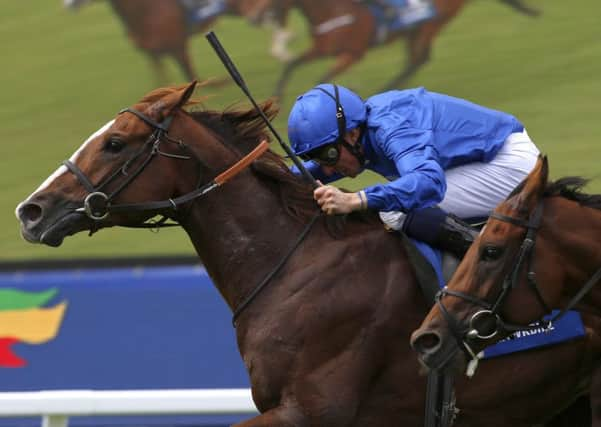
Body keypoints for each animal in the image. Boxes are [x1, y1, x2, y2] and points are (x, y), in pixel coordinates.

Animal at [63, 0, 292, 83]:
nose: (67, 5)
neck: (145, 11)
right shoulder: (154, 54)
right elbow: (162, 83)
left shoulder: (178, 48)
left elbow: (196, 80)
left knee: (275, 13)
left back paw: (282, 47)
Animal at [253, 0, 540, 97]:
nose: (258, 17)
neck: (334, 9)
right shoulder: (322, 48)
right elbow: (291, 64)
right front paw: (277, 96)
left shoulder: (352, 54)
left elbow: (322, 78)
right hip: (415, 30)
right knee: (416, 59)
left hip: (431, 23)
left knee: (418, 59)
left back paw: (386, 89)